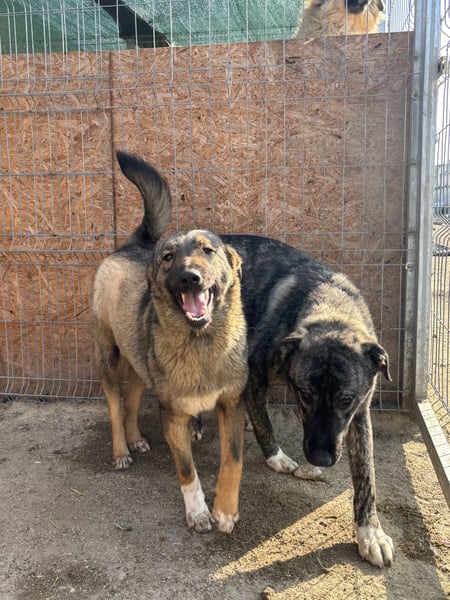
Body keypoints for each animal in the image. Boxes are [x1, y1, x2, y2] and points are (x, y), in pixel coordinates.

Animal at [91, 152, 248, 534]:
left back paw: (136, 438)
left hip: (140, 365)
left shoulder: (232, 404)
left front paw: (225, 509)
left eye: (208, 250)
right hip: (109, 357)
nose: (189, 277)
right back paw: (121, 450)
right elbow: (187, 470)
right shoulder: (174, 415)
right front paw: (198, 512)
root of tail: (131, 245)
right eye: (167, 257)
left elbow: (233, 459)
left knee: (132, 400)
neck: (202, 342)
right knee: (115, 406)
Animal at [220, 234, 394, 568]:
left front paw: (370, 532)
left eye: (346, 399)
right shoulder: (254, 372)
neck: (332, 310)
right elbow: (264, 421)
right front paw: (275, 457)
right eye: (304, 394)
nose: (320, 460)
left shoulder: (361, 414)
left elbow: (367, 475)